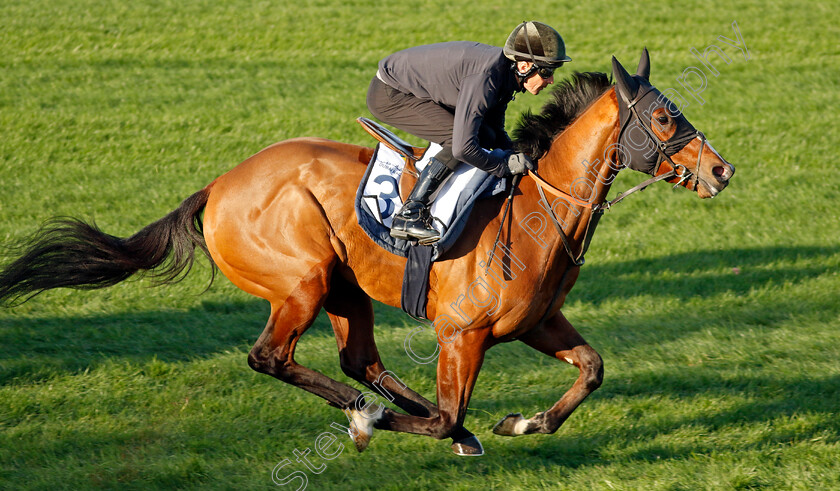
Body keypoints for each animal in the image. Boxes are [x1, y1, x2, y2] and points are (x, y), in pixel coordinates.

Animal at [0, 51, 732, 458]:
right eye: (663, 119)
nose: (722, 171)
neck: (538, 211)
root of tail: (218, 187)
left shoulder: (536, 323)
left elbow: (593, 368)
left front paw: (525, 421)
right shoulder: (460, 334)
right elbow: (447, 413)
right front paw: (400, 426)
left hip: (344, 287)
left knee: (360, 359)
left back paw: (384, 409)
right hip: (303, 279)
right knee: (273, 357)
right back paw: (363, 413)